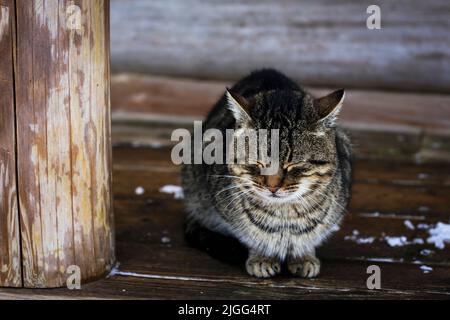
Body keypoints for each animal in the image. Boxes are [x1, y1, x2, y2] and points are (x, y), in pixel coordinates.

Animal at [181, 69, 354, 278]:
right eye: (258, 162)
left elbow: (310, 237)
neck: (285, 216)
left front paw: (304, 256)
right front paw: (262, 257)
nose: (272, 187)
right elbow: (251, 234)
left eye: (293, 164)